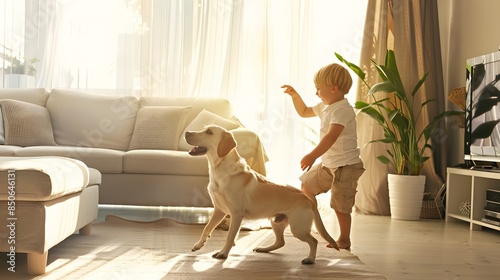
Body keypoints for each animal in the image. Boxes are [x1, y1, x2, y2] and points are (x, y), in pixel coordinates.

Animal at [186, 126, 338, 264]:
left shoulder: (236, 214)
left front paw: (223, 253)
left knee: (314, 241)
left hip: (297, 228)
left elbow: (230, 236)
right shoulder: (219, 210)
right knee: (281, 242)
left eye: (209, 132)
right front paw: (199, 245)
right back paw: (264, 249)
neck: (219, 169)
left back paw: (310, 258)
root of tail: (308, 199)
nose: (187, 132)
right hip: (276, 222)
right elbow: (207, 228)